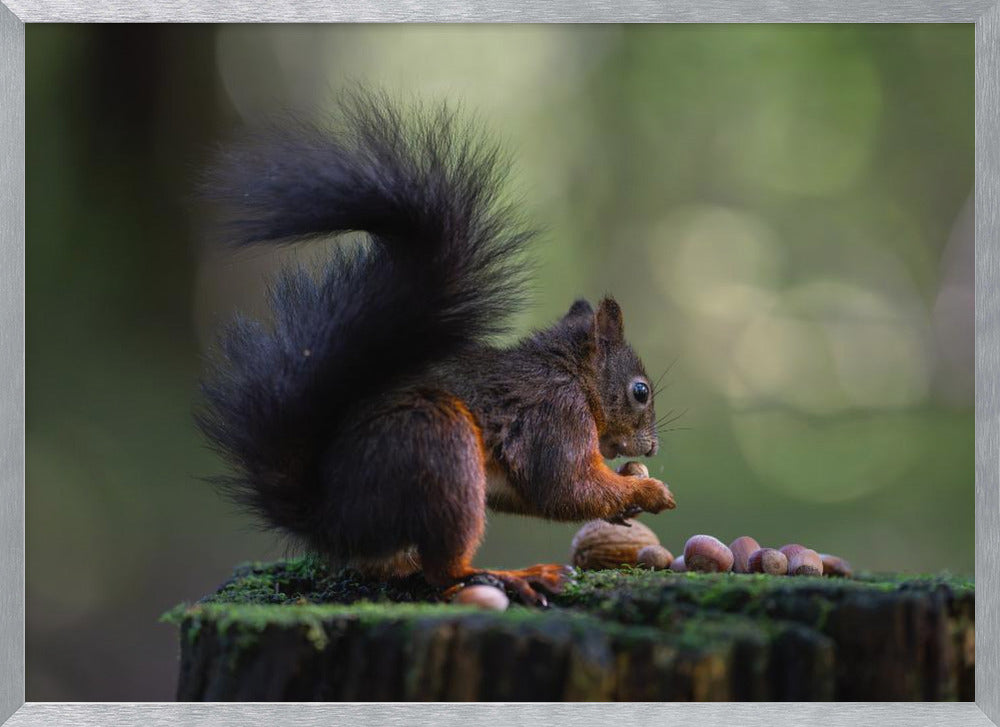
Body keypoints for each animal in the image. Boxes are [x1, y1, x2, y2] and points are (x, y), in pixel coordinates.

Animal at [197, 91, 675, 606]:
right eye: (641, 391)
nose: (652, 447)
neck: (572, 376)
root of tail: (333, 519)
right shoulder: (555, 415)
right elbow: (564, 487)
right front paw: (647, 493)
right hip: (438, 447)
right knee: (445, 570)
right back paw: (511, 576)